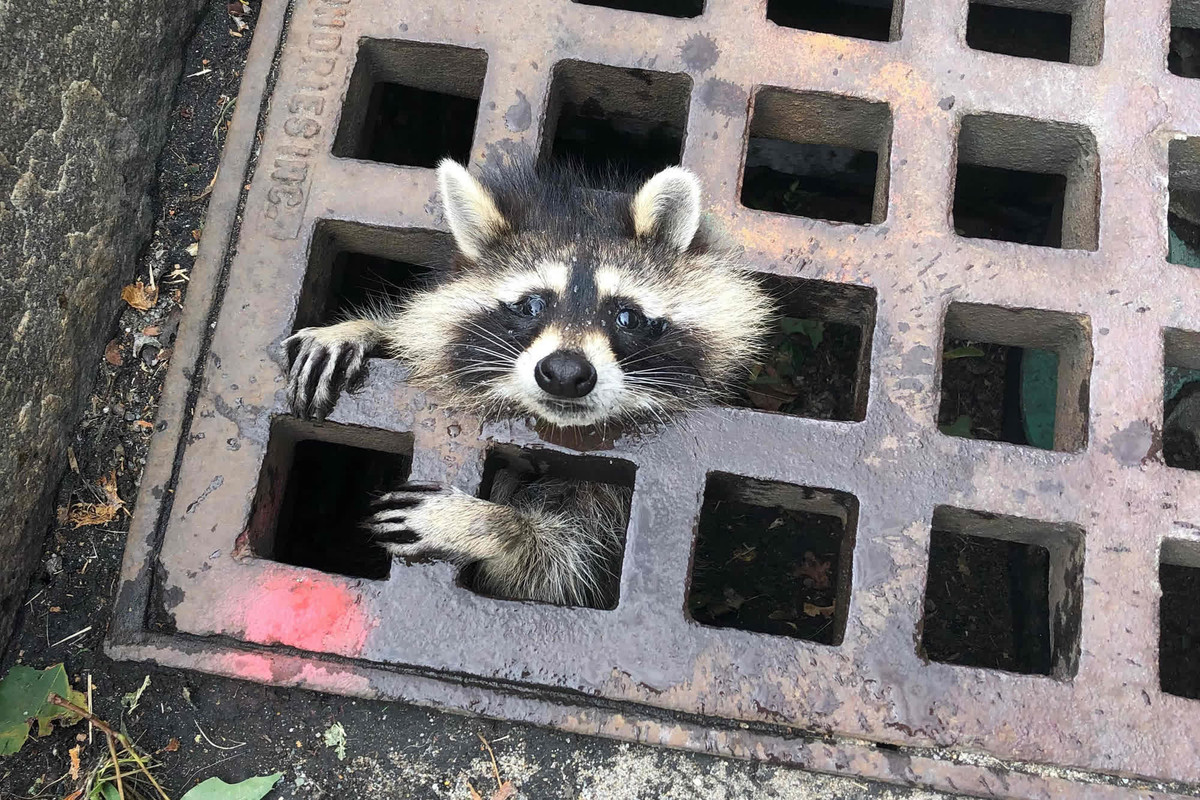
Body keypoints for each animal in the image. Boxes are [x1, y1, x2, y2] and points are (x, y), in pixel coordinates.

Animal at [288, 158, 777, 606]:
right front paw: (367, 329)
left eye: (627, 316)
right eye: (532, 305)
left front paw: (491, 525)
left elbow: (559, 567)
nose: (564, 373)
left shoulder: (609, 516)